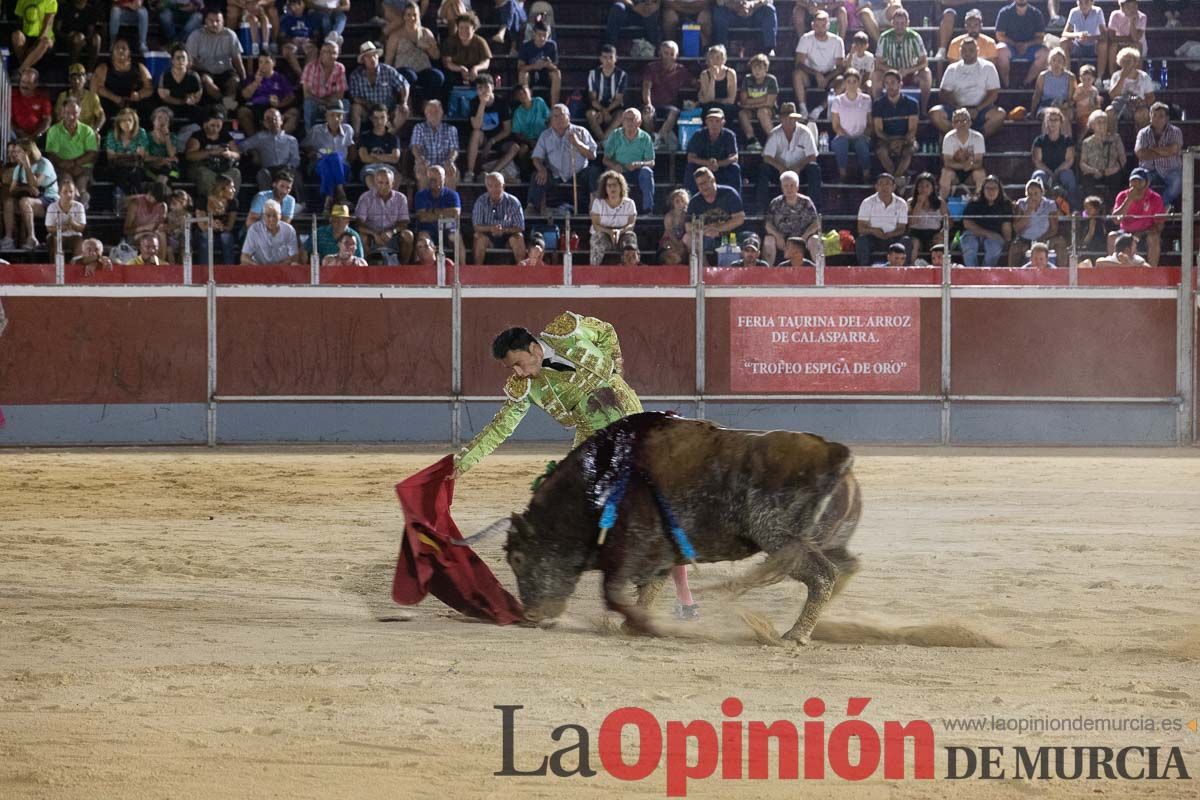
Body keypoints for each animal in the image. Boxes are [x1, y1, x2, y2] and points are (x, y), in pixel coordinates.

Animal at [460, 412, 864, 642]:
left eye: (519, 558)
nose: (529, 615)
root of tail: (837, 454)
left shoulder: (632, 549)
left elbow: (615, 592)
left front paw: (646, 625)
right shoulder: (659, 553)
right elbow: (647, 589)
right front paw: (635, 625)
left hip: (780, 538)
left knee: (823, 575)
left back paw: (795, 634)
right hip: (824, 540)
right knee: (845, 567)